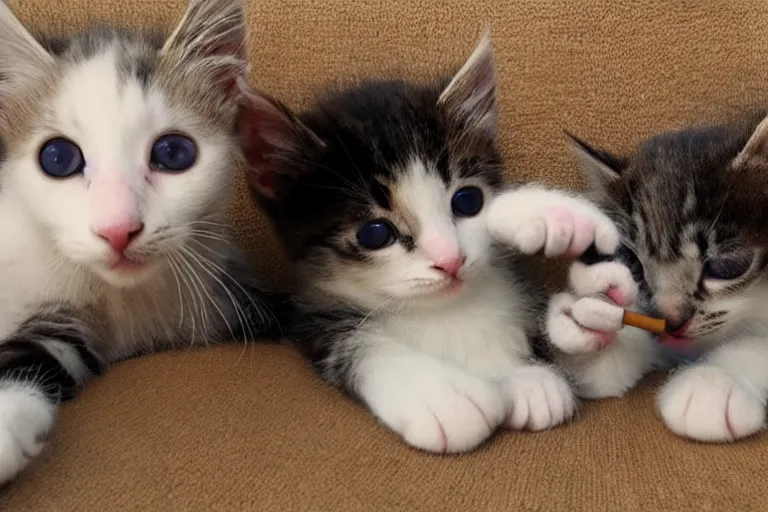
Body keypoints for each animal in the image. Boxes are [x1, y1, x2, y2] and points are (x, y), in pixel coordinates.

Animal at [243, 35, 620, 452]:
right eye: (375, 234)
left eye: (468, 201)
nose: (450, 259)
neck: (445, 312)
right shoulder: (307, 314)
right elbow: (354, 342)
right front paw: (441, 397)